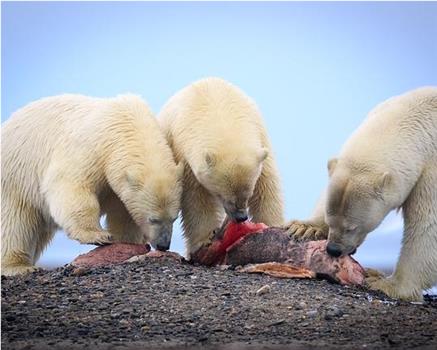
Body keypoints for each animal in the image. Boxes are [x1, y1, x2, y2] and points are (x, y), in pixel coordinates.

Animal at [1, 94, 182, 274]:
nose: (163, 245)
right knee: (14, 223)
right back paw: (18, 266)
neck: (125, 123)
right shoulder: (91, 148)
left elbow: (124, 213)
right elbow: (71, 185)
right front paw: (98, 236)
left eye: (174, 218)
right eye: (153, 219)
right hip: (15, 177)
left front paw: (126, 241)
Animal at [158, 77, 284, 258]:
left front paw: (272, 226)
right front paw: (204, 240)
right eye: (222, 195)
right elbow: (196, 198)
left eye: (248, 193)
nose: (241, 217)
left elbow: (267, 184)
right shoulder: (184, 152)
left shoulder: (260, 134)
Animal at [282, 87, 436, 300]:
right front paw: (304, 227)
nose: (333, 249)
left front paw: (385, 283)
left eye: (351, 228)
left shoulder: (431, 171)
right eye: (330, 220)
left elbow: (428, 225)